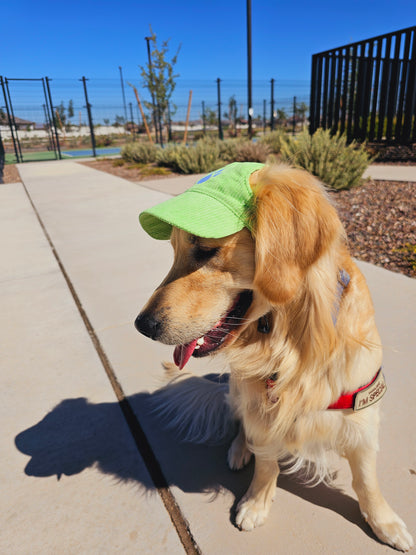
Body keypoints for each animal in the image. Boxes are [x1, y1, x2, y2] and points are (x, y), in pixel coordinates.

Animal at [136, 163, 412, 548]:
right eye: (174, 250)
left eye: (205, 250)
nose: (142, 325)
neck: (294, 343)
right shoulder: (261, 406)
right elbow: (267, 463)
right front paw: (256, 502)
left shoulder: (361, 411)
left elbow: (366, 480)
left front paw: (384, 522)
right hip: (237, 389)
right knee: (241, 425)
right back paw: (240, 449)